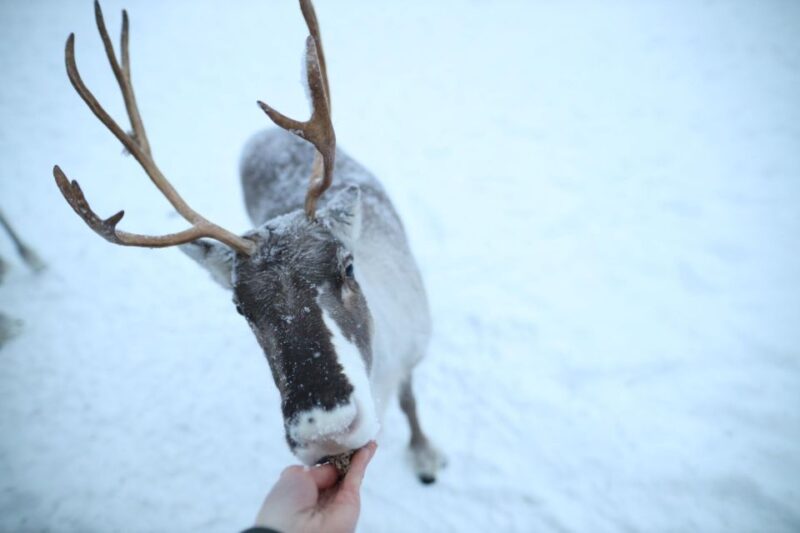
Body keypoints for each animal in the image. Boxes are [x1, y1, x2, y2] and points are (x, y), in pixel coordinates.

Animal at [53, 0, 445, 483]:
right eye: (241, 307)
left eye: (348, 266)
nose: (326, 431)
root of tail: (265, 134)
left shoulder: (414, 351)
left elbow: (411, 404)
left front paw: (425, 454)